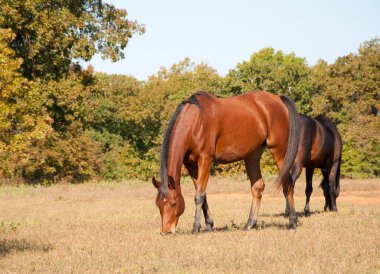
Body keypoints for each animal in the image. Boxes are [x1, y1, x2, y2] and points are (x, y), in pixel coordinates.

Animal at [151, 91, 300, 234]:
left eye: (174, 203)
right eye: (158, 205)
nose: (166, 231)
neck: (196, 122)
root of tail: (277, 98)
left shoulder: (205, 159)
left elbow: (199, 195)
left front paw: (196, 227)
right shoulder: (191, 165)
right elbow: (202, 193)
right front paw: (209, 225)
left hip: (279, 151)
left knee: (288, 183)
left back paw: (292, 222)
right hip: (252, 155)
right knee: (258, 187)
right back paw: (249, 224)